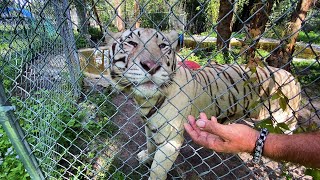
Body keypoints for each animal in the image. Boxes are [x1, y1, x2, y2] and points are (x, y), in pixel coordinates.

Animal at [106, 27, 302, 179]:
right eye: (131, 43)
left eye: (162, 46)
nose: (151, 65)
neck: (146, 100)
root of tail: (293, 77)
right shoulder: (149, 125)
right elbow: (150, 144)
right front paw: (146, 156)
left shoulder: (170, 141)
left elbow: (157, 170)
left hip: (284, 122)